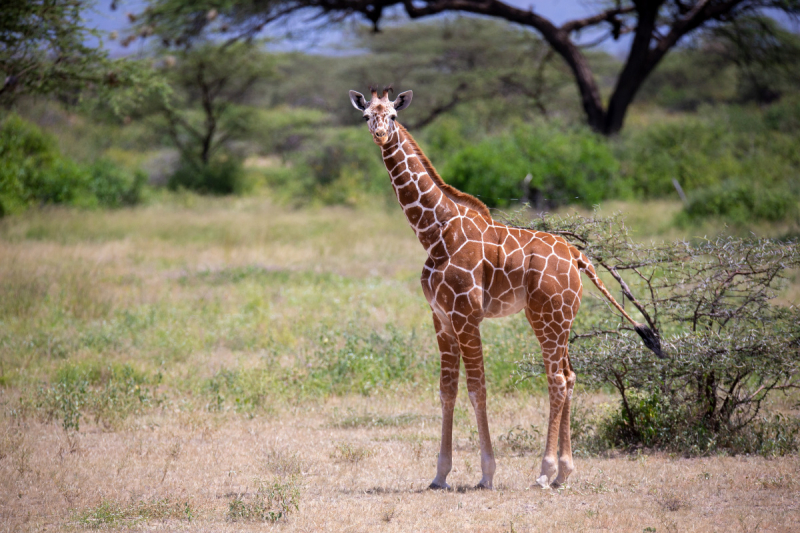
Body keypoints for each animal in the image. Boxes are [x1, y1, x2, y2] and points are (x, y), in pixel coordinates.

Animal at [350, 87, 664, 490]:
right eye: (366, 116)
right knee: (570, 376)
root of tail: (579, 257)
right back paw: (564, 471)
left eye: (392, 115)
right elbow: (447, 390)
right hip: (559, 318)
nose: (379, 134)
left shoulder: (466, 315)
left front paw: (487, 473)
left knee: (556, 379)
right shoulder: (440, 317)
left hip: (547, 316)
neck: (435, 233)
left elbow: (477, 389)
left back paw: (545, 471)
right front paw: (440, 475)